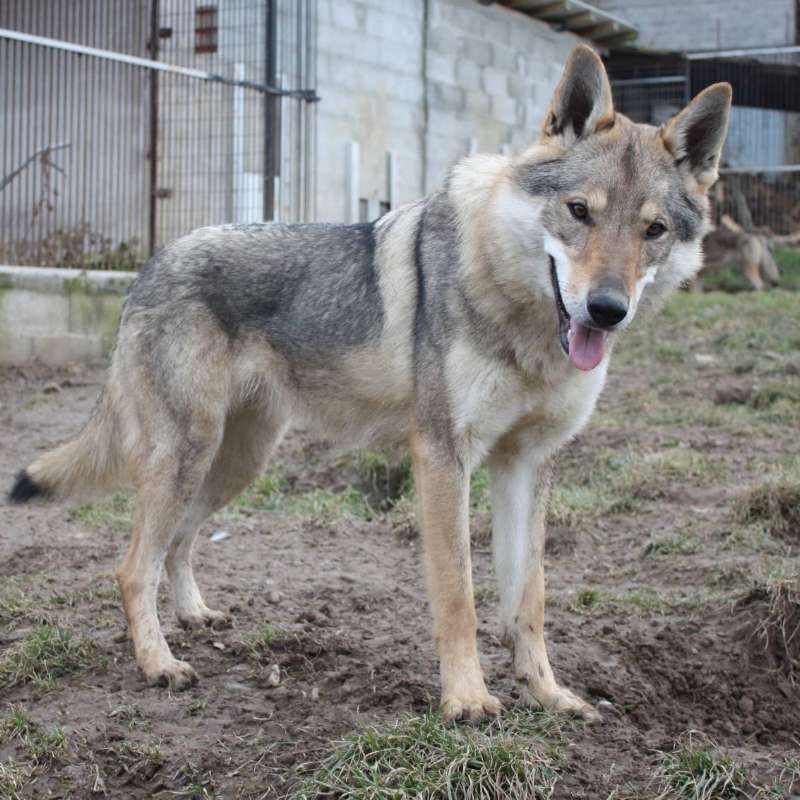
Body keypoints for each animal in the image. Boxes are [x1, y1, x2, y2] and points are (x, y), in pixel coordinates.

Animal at [7, 50, 732, 724]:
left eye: (653, 231)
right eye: (579, 212)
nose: (606, 310)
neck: (520, 319)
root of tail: (152, 263)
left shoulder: (527, 463)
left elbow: (528, 599)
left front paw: (549, 695)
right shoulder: (441, 455)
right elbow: (460, 595)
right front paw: (467, 701)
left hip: (236, 463)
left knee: (178, 543)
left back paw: (194, 617)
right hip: (189, 454)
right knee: (134, 566)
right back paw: (158, 664)